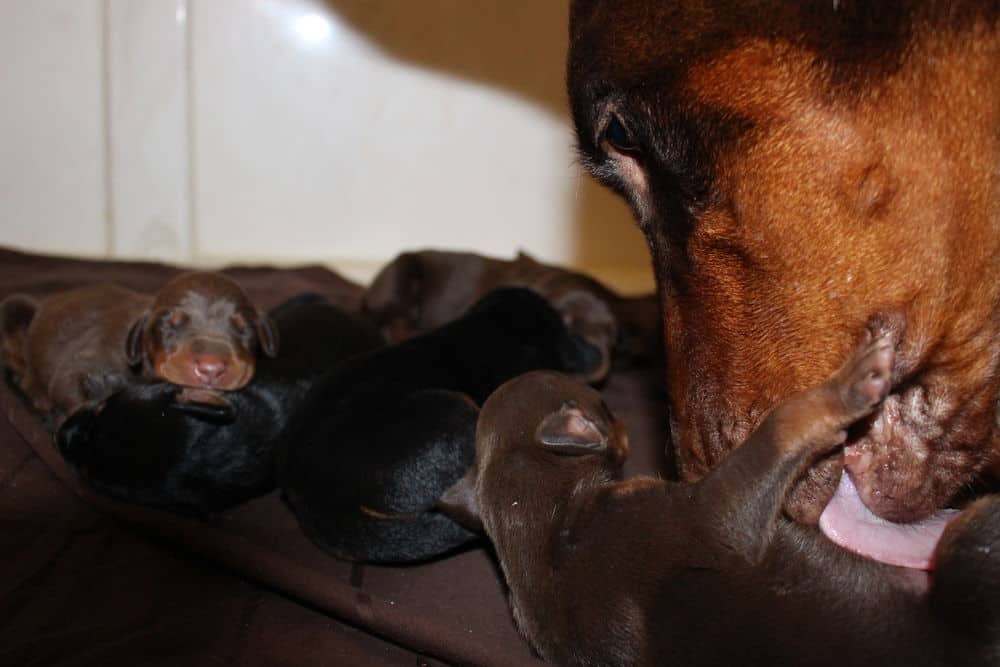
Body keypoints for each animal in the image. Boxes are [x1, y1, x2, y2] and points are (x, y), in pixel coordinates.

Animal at [0, 272, 276, 426]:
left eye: (244, 328)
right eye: (170, 325)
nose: (211, 369)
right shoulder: (89, 358)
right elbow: (72, 389)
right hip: (14, 308)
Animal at [442, 340, 1000, 667]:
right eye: (606, 407)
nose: (621, 420)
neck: (534, 522)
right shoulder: (710, 517)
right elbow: (782, 427)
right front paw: (846, 388)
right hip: (967, 544)